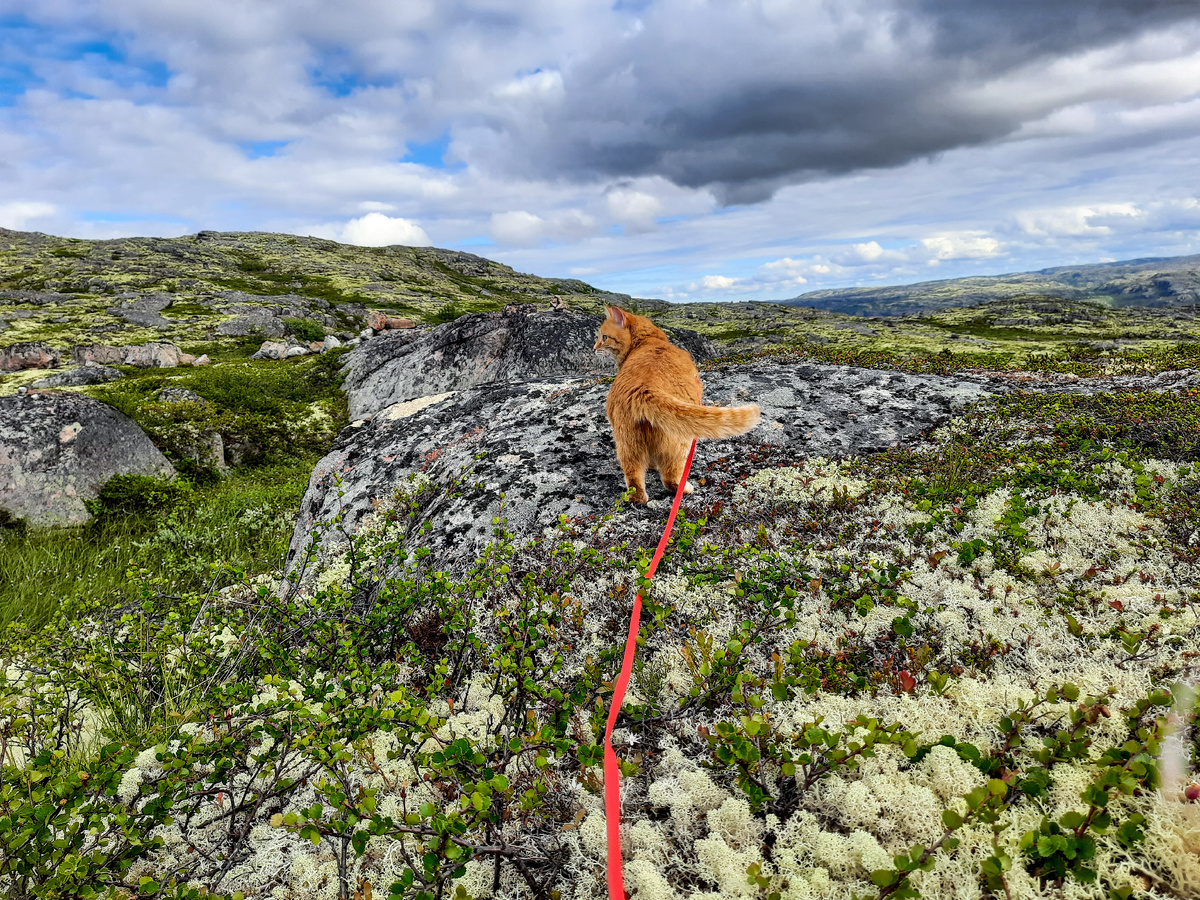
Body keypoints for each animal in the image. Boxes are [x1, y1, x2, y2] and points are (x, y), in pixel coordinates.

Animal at [597, 309, 758, 508]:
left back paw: (639, 497)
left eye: (604, 337)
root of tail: (644, 389)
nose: (594, 348)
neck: (648, 341)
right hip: (679, 442)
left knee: (634, 480)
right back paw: (686, 487)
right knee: (671, 479)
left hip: (628, 443)